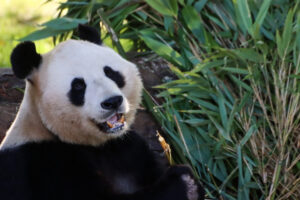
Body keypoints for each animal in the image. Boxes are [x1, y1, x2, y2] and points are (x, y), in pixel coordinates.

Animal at [0, 24, 204, 199]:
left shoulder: (129, 149)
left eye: (110, 73)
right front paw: (185, 183)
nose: (112, 102)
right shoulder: (44, 166)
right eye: (78, 86)